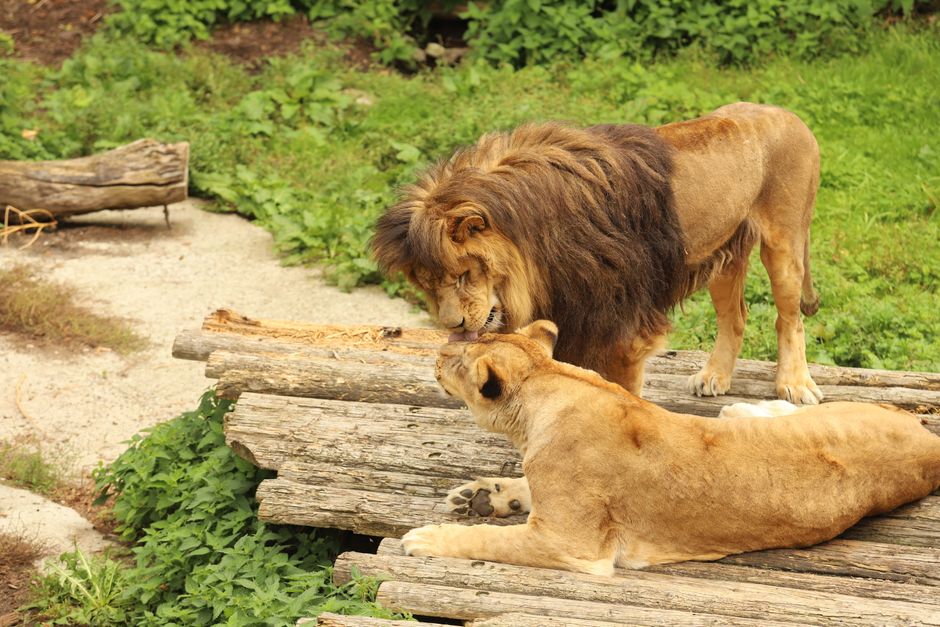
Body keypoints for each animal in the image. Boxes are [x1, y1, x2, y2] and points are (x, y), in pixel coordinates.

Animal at [373, 103, 824, 404]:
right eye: (427, 285)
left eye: (464, 275)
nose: (452, 325)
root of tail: (789, 113)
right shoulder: (575, 318)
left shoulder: (623, 331)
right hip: (723, 253)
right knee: (736, 317)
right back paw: (714, 376)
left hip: (785, 243)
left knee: (789, 319)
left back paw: (794, 383)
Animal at [402, 322, 940, 574]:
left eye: (457, 359)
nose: (437, 357)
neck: (556, 383)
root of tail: (928, 444)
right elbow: (526, 488)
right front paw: (482, 496)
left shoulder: (573, 546)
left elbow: (489, 542)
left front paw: (427, 538)